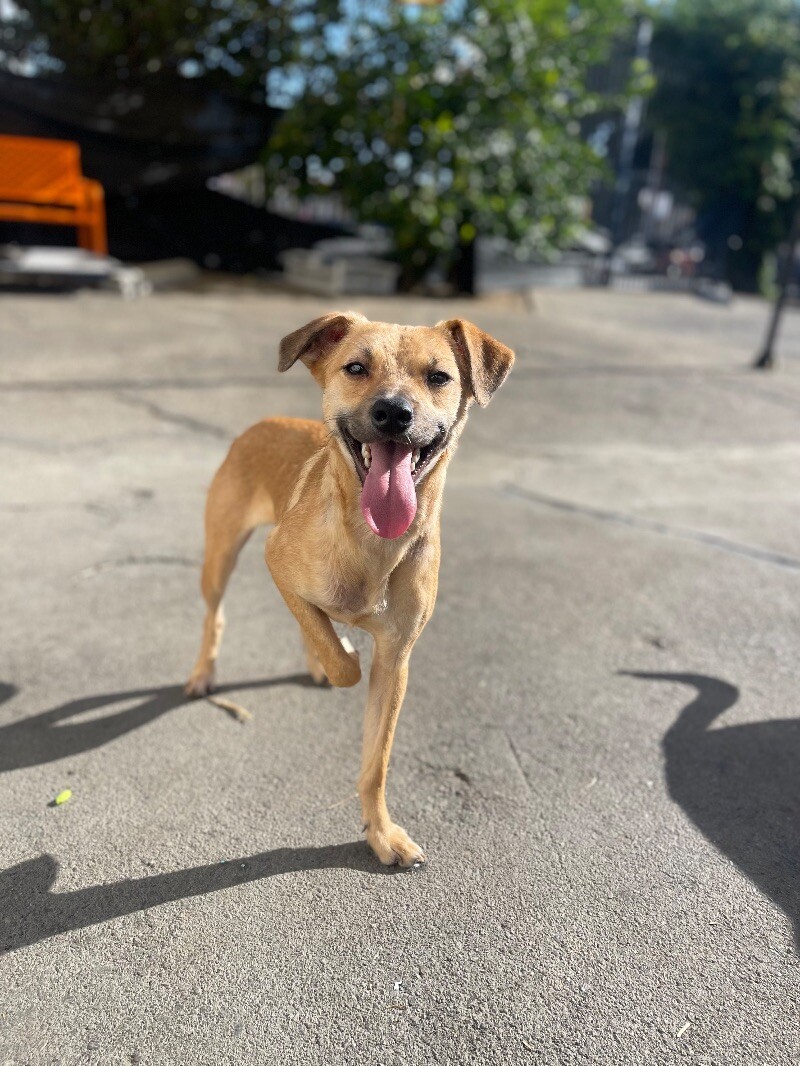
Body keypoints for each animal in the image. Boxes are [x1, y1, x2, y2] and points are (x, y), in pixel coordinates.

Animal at [186, 311, 514, 865]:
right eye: (356, 367)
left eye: (439, 377)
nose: (393, 413)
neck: (372, 541)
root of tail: (262, 422)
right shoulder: (276, 562)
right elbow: (340, 655)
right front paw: (341, 652)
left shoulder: (396, 658)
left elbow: (375, 762)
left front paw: (381, 833)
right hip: (221, 557)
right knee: (218, 615)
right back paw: (204, 672)